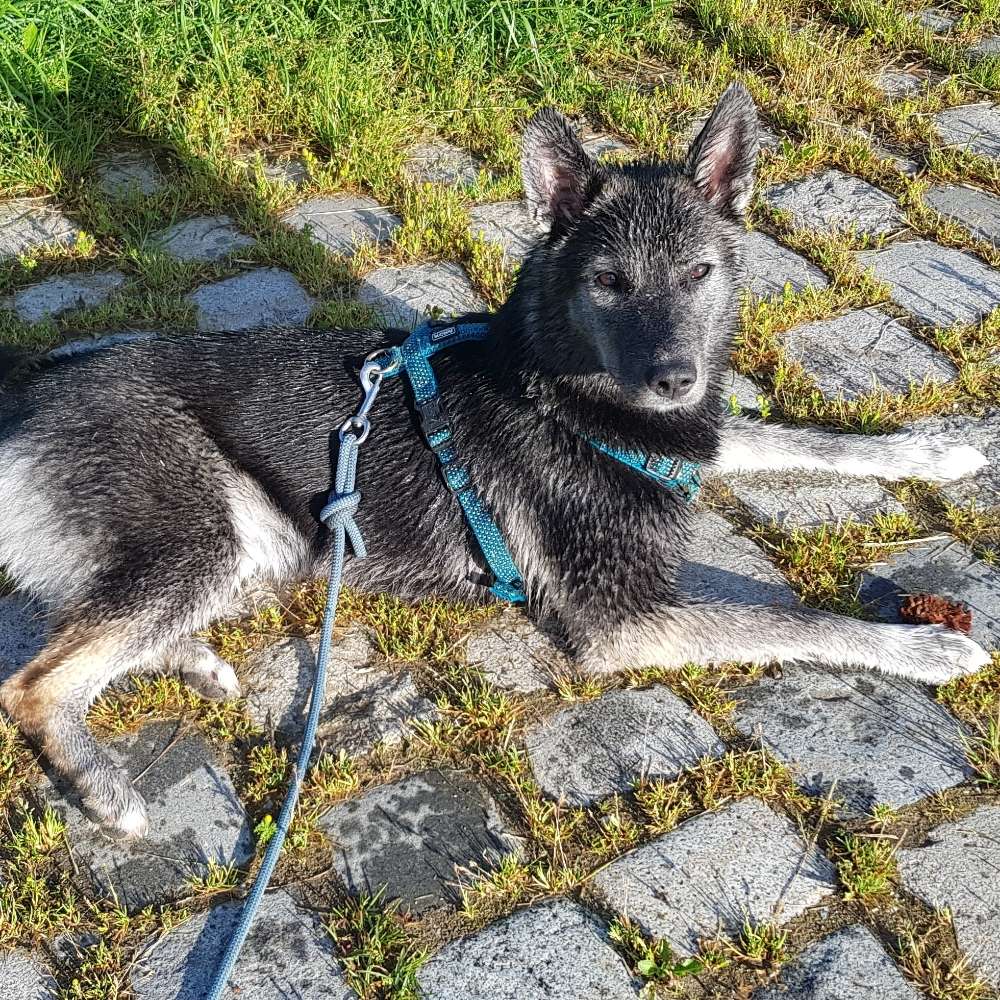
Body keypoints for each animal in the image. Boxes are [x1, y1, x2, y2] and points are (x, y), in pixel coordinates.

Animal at [0, 86, 992, 836]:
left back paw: (197, 663)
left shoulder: (696, 438)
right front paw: (925, 646)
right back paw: (108, 784)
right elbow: (793, 623)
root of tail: (31, 388)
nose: (673, 378)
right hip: (206, 538)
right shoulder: (624, 621)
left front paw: (929, 451)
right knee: (36, 682)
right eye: (609, 282)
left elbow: (791, 438)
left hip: (255, 546)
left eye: (701, 273)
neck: (562, 391)